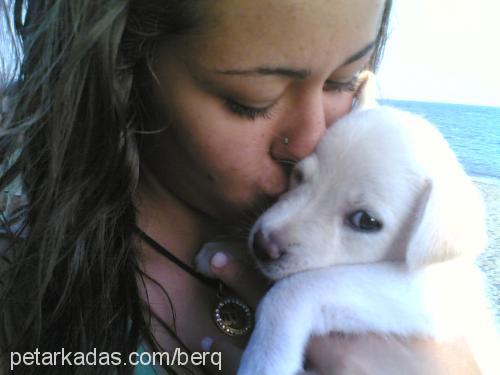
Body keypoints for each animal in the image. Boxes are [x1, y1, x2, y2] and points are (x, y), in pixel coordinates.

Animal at [197, 73, 498, 375]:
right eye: (298, 175)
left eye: (366, 221)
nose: (260, 246)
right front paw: (221, 249)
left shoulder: (428, 298)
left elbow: (297, 287)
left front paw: (265, 359)